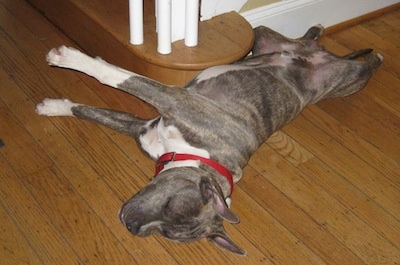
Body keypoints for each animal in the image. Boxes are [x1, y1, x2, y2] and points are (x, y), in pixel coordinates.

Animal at [35, 24, 382, 254]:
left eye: (166, 233)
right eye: (170, 205)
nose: (131, 226)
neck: (194, 154)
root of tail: (320, 56)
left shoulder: (156, 115)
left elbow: (110, 91)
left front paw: (61, 86)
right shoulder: (161, 111)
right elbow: (103, 94)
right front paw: (61, 91)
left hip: (347, 81)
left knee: (363, 65)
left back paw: (372, 54)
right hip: (264, 38)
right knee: (315, 45)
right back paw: (319, 33)